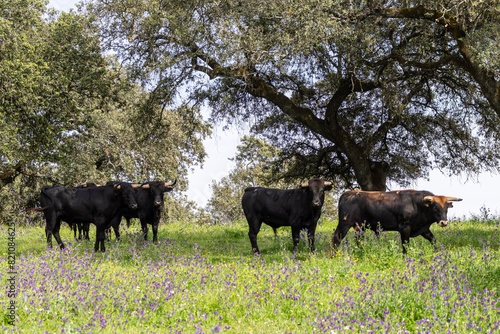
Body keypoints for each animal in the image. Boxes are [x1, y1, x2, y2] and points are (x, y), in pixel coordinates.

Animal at [330, 190, 462, 253]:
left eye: (446, 209)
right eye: (435, 208)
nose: (444, 223)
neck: (418, 205)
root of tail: (347, 194)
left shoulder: (423, 229)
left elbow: (433, 239)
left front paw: (437, 252)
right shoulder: (405, 228)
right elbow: (405, 244)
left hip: (360, 227)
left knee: (359, 240)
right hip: (344, 224)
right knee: (336, 238)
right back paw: (333, 256)